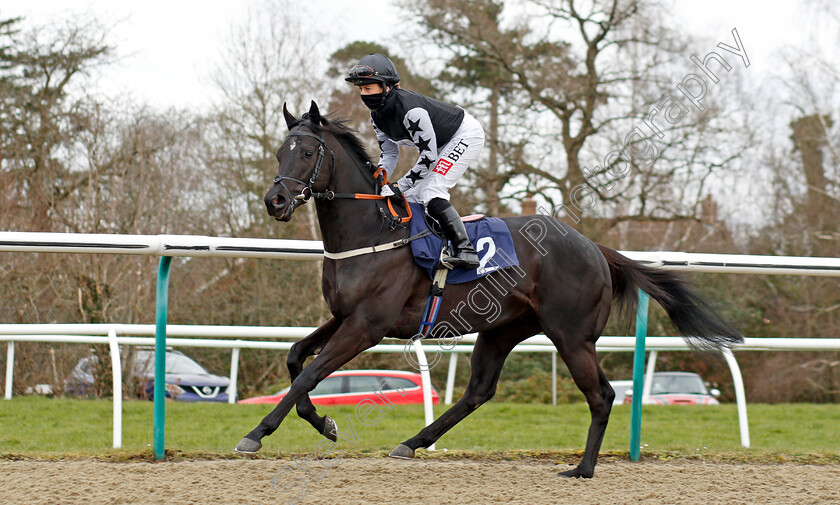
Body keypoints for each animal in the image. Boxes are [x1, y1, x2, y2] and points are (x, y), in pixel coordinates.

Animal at [236, 101, 740, 476]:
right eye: (280, 152)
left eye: (306, 153)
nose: (275, 200)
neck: (371, 232)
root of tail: (593, 247)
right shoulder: (344, 317)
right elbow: (295, 357)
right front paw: (324, 423)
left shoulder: (367, 326)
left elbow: (310, 373)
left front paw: (257, 434)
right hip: (502, 329)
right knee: (479, 391)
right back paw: (412, 442)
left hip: (572, 336)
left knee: (602, 395)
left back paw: (583, 469)